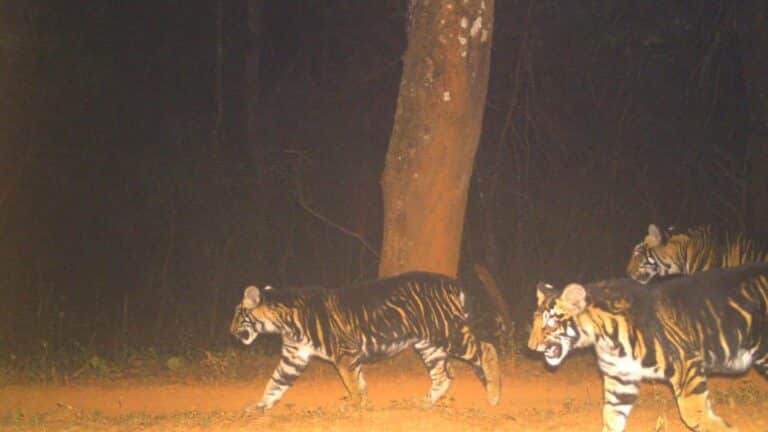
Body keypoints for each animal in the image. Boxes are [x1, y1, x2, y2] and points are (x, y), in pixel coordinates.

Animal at [230, 271, 501, 414]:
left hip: (452, 334)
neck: (284, 323)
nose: (230, 331)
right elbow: (275, 382)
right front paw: (259, 406)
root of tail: (453, 282)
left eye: (237, 314)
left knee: (486, 349)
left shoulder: (344, 355)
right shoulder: (293, 358)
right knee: (443, 376)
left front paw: (356, 407)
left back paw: (494, 396)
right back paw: (424, 402)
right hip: (429, 346)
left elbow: (352, 383)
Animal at [528, 263, 768, 432]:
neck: (604, 338)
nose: (530, 347)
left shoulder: (686, 364)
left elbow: (695, 414)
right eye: (536, 321)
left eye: (550, 323)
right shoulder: (620, 380)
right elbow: (611, 417)